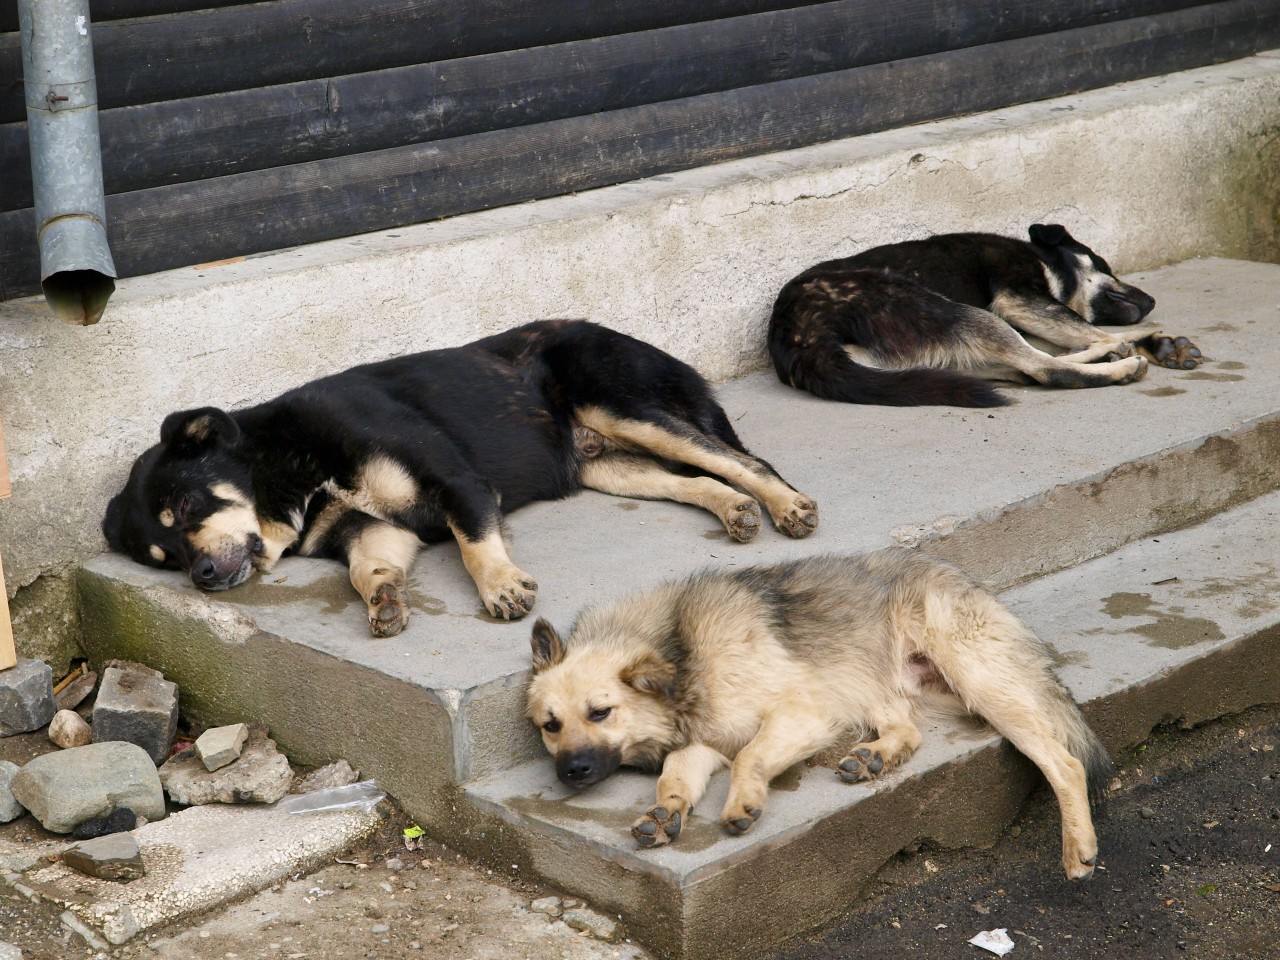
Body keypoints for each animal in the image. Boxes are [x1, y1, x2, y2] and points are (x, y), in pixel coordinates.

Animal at [102, 323, 819, 640]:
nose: (202, 576)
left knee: (741, 461)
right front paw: (384, 598)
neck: (286, 466)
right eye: (163, 558)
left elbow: (475, 545)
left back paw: (785, 504)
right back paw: (734, 511)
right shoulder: (370, 529)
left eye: (185, 503)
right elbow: (366, 568)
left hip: (625, 408)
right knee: (695, 479)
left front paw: (500, 587)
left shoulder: (458, 483)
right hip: (608, 463)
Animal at [527, 552, 1111, 885]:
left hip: (975, 680)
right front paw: (665, 810)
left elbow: (751, 755)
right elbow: (676, 775)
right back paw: (875, 757)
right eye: (550, 725)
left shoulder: (805, 711)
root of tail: (959, 574)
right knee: (907, 729)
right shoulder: (704, 741)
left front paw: (743, 801)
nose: (571, 773)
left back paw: (1078, 847)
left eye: (600, 712)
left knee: (1063, 763)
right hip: (869, 678)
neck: (681, 653)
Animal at [768, 226, 1198, 409]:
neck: (1043, 259)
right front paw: (1137, 342)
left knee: (1027, 368)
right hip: (957, 312)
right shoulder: (1019, 298)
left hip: (935, 354)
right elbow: (1095, 332)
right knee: (1045, 369)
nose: (1151, 300)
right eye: (1105, 264)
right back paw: (1121, 364)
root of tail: (799, 336)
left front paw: (1160, 343)